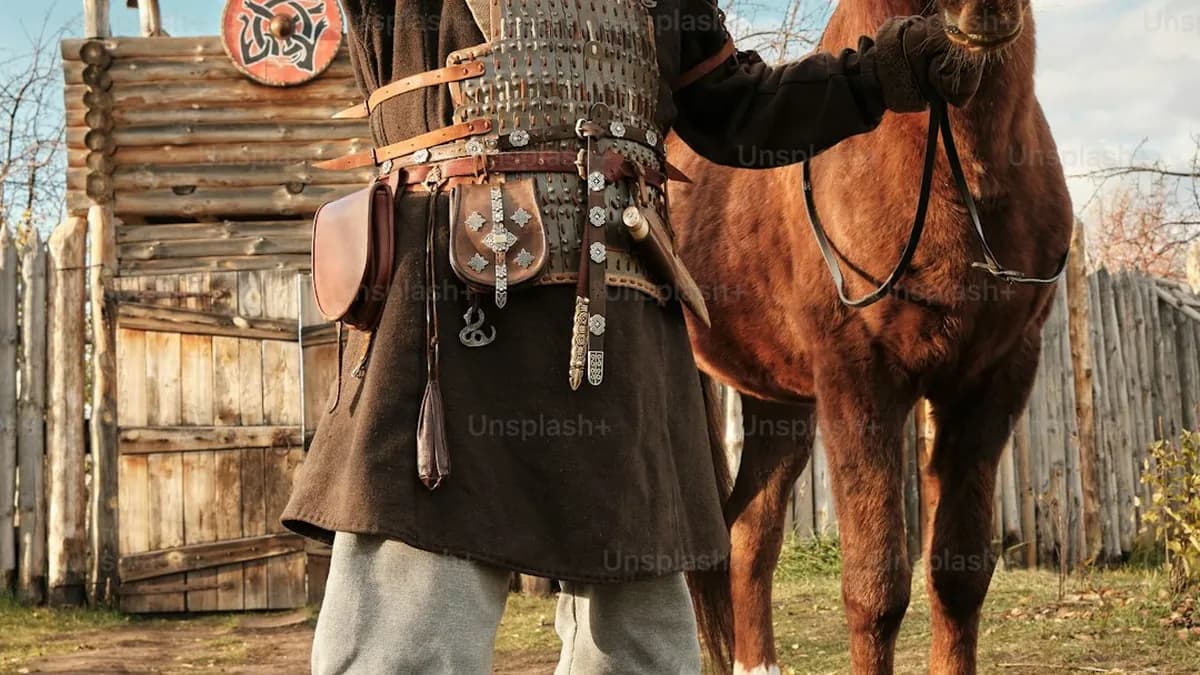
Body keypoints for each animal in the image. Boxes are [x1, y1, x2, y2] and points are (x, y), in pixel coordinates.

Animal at [669, 0, 1072, 673]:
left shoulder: (993, 380)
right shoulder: (858, 378)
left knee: (748, 536)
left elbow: (959, 576)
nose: (983, 9)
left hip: (778, 405)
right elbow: (875, 587)